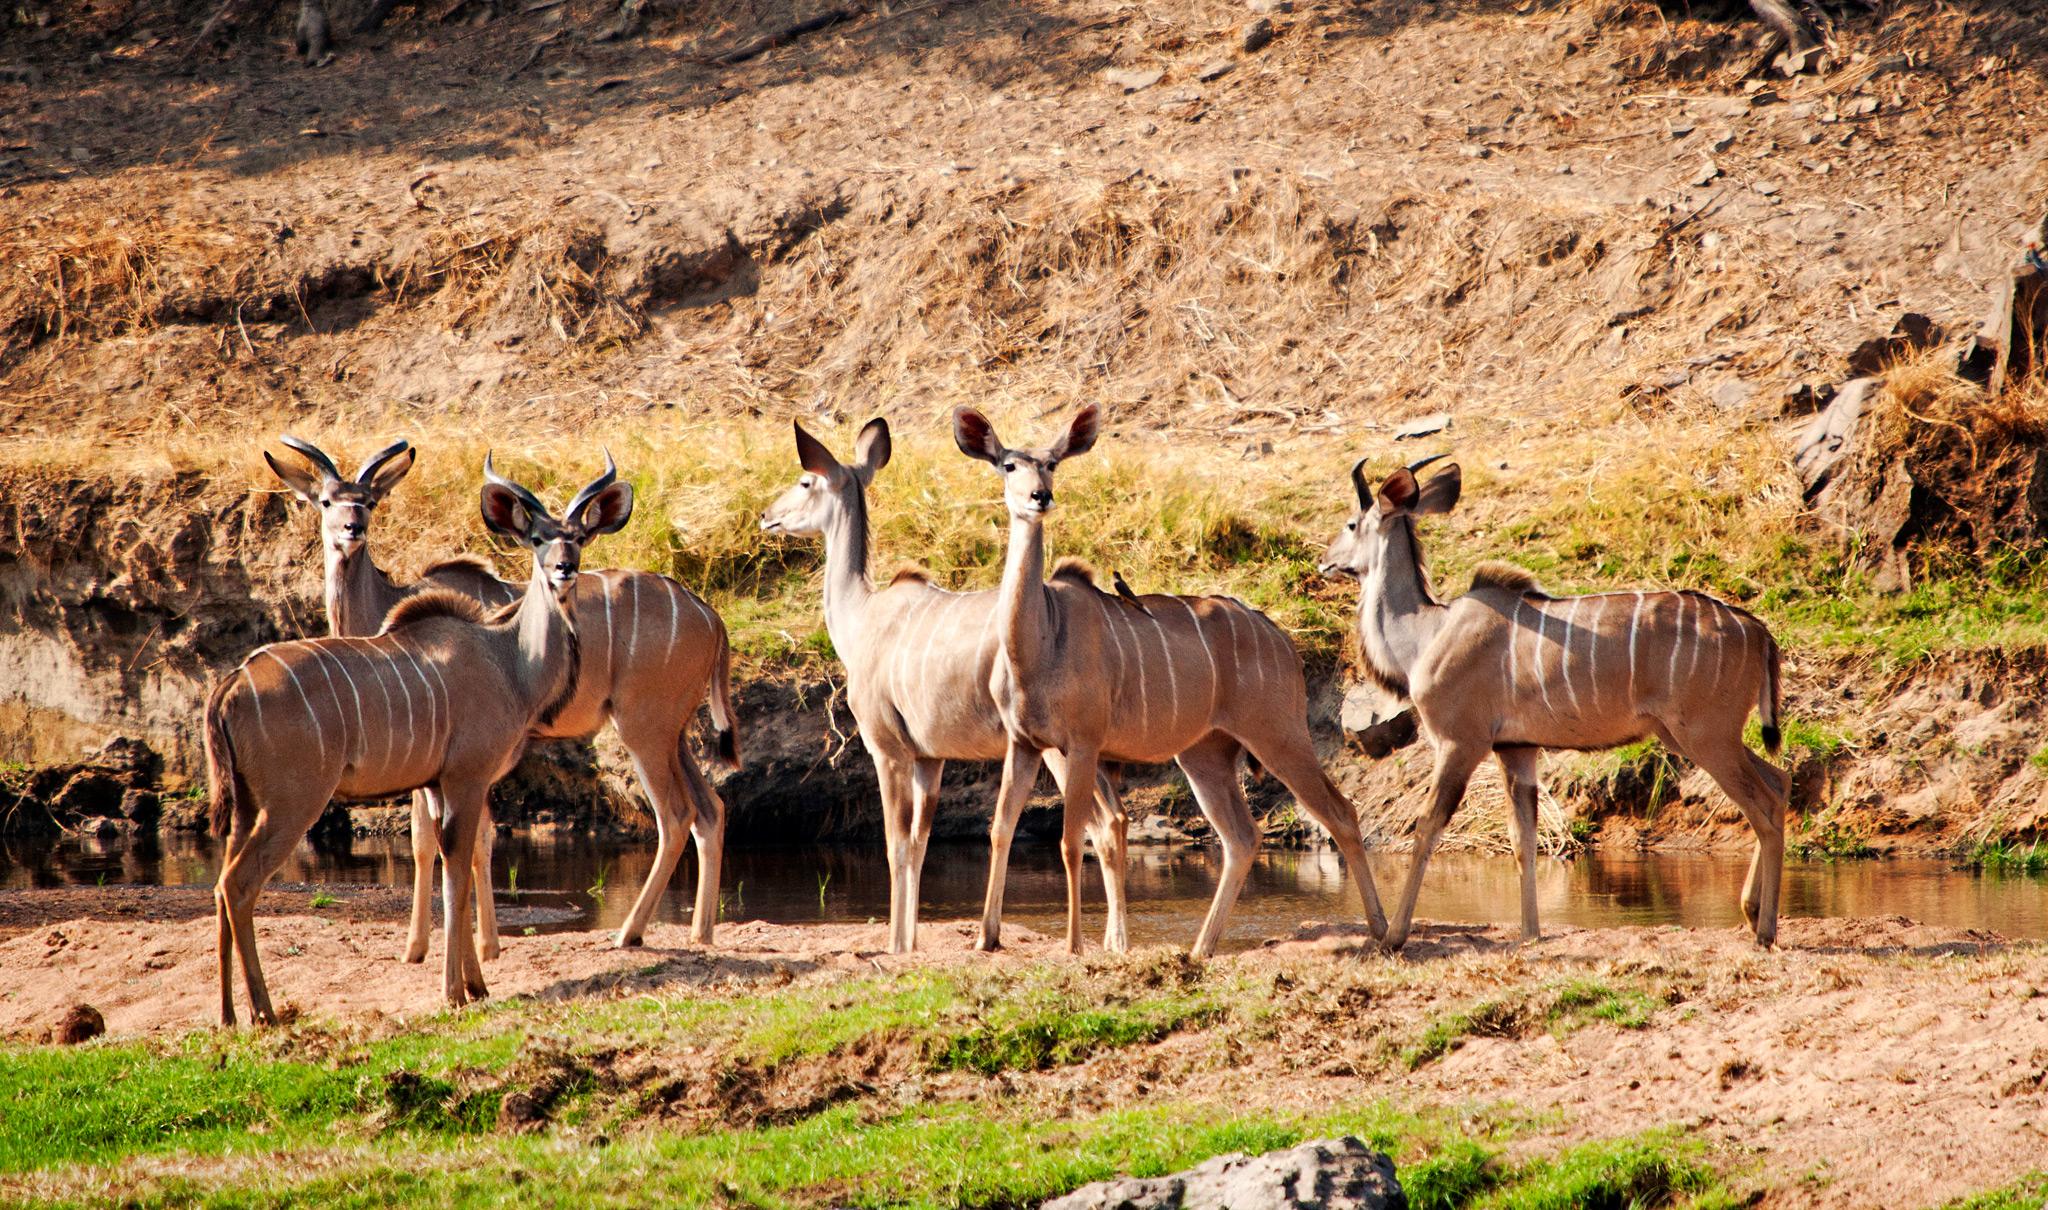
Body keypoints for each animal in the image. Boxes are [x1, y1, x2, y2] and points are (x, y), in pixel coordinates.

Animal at [205, 454, 630, 1021]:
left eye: (579, 537)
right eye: (539, 538)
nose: (565, 569)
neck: (507, 659)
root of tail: (232, 682)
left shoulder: (436, 783)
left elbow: (453, 859)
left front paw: (475, 983)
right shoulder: (467, 777)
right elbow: (456, 865)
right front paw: (455, 991)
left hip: (248, 805)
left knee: (220, 884)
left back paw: (229, 1015)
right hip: (293, 802)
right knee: (239, 883)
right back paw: (266, 1013)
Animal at [265, 436, 739, 957]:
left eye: (369, 501)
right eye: (327, 501)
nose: (353, 528)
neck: (386, 606)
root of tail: (712, 618)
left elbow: (454, 839)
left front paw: (458, 946)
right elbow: (447, 840)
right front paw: (448, 945)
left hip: (644, 729)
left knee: (675, 815)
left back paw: (629, 933)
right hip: (672, 732)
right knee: (710, 810)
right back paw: (701, 932)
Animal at [757, 419, 1131, 955]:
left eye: (806, 481)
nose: (767, 516)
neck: (861, 615)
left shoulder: (888, 749)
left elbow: (896, 844)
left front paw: (896, 944)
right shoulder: (930, 758)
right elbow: (919, 843)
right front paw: (909, 941)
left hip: (1058, 748)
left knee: (1099, 825)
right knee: (1117, 820)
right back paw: (1116, 942)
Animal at [952, 405, 1388, 958]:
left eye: (1051, 464)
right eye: (1008, 465)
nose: (1039, 496)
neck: (1039, 643)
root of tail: (1285, 642)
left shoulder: (1083, 742)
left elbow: (1071, 841)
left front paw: (1074, 945)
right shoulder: (1024, 743)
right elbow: (1001, 829)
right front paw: (986, 938)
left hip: (1279, 734)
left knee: (1340, 811)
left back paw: (1383, 930)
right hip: (1205, 753)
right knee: (1242, 836)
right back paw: (1201, 948)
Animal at [1318, 455, 1789, 950]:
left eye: (1351, 523)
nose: (1325, 561)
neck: (1428, 632)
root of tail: (1759, 632)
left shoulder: (1459, 743)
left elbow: (1428, 826)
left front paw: (1393, 936)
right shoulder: (1516, 749)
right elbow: (1522, 839)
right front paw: (1530, 933)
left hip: (1706, 737)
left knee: (1762, 806)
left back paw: (1765, 929)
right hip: (1697, 737)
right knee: (1779, 783)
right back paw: (1751, 911)